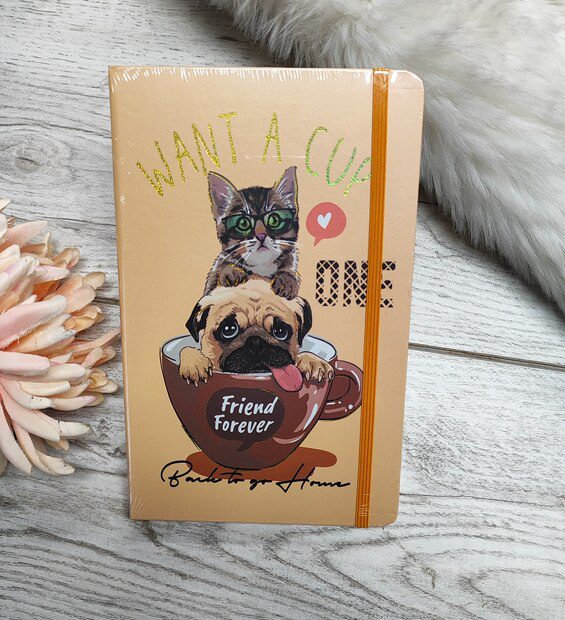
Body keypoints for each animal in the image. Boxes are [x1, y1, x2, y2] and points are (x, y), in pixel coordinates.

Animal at [179, 279, 333, 388]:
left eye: (280, 332)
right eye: (229, 330)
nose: (256, 343)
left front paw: (312, 362)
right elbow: (186, 349)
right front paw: (195, 363)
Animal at [204, 166, 300, 300]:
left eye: (274, 220)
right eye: (243, 223)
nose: (261, 235)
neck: (261, 268)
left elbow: (289, 269)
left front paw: (287, 280)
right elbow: (221, 267)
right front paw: (231, 271)